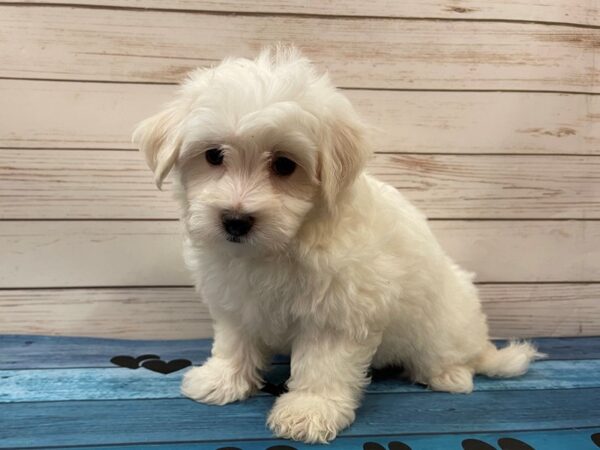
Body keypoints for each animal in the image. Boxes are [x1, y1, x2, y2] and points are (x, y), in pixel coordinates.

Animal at [134, 45, 540, 442]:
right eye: (213, 156)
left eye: (284, 165)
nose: (235, 220)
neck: (281, 245)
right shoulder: (237, 298)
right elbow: (235, 341)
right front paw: (222, 379)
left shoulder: (339, 309)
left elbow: (323, 364)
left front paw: (309, 409)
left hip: (445, 325)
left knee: (454, 356)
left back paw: (448, 375)